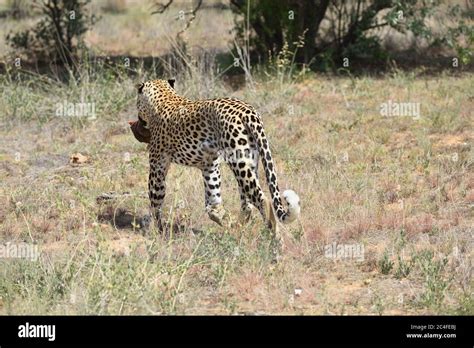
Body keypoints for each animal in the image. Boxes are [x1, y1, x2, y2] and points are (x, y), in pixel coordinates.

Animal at [131, 79, 300, 247]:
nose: (135, 122)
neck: (163, 99)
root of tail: (247, 111)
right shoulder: (209, 166)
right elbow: (212, 202)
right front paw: (222, 218)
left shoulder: (157, 165)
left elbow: (155, 200)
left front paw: (155, 232)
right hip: (250, 161)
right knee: (247, 204)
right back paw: (237, 228)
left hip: (238, 162)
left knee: (262, 199)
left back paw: (276, 240)